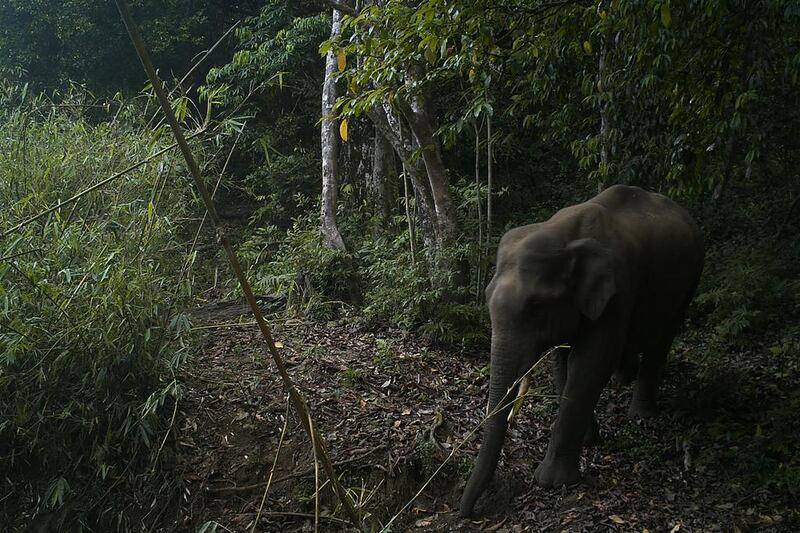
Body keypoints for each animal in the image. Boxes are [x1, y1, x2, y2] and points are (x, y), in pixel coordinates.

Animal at [460, 186, 704, 516]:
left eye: (536, 306)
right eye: (486, 297)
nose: (467, 512)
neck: (562, 233)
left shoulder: (618, 292)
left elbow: (590, 363)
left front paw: (551, 482)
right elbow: (563, 363)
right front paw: (590, 439)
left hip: (692, 278)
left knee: (663, 338)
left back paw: (642, 413)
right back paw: (622, 381)